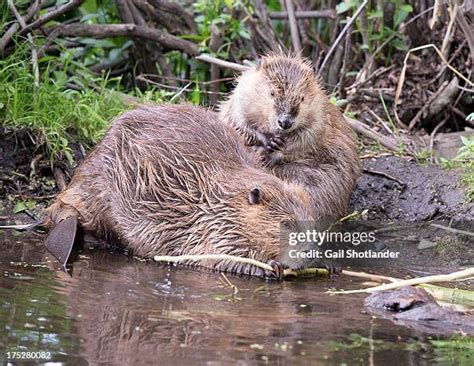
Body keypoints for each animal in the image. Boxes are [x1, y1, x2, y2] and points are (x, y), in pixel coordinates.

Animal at [45, 104, 322, 278]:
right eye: (287, 224)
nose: (310, 253)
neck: (221, 196)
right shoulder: (211, 224)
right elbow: (215, 255)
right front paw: (269, 267)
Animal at [219, 54, 362, 220]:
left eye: (302, 98)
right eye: (272, 93)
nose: (285, 122)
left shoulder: (320, 114)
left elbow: (308, 137)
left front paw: (273, 153)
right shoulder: (239, 99)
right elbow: (239, 124)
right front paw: (268, 142)